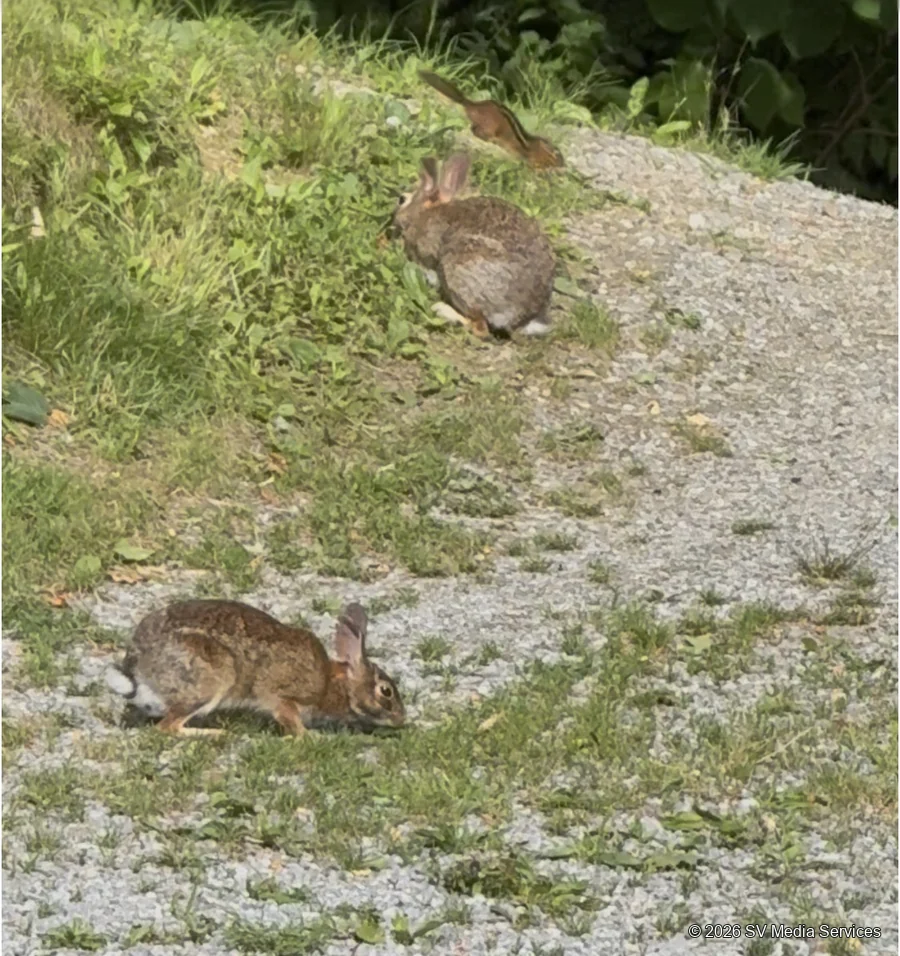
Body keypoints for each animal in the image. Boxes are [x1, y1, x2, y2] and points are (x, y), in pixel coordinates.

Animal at [105, 599, 405, 736]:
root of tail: (138, 671)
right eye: (385, 691)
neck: (333, 684)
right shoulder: (283, 695)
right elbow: (288, 717)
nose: (401, 720)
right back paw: (215, 734)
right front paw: (309, 737)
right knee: (169, 727)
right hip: (209, 682)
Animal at [392, 152, 555, 338]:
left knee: (480, 327)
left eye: (402, 200)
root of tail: (523, 317)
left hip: (459, 269)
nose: (394, 216)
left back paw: (443, 311)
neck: (424, 213)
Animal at [418, 70, 565, 170]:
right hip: (489, 127)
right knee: (474, 130)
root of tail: (471, 105)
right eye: (557, 155)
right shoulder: (525, 154)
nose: (564, 165)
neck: (534, 145)